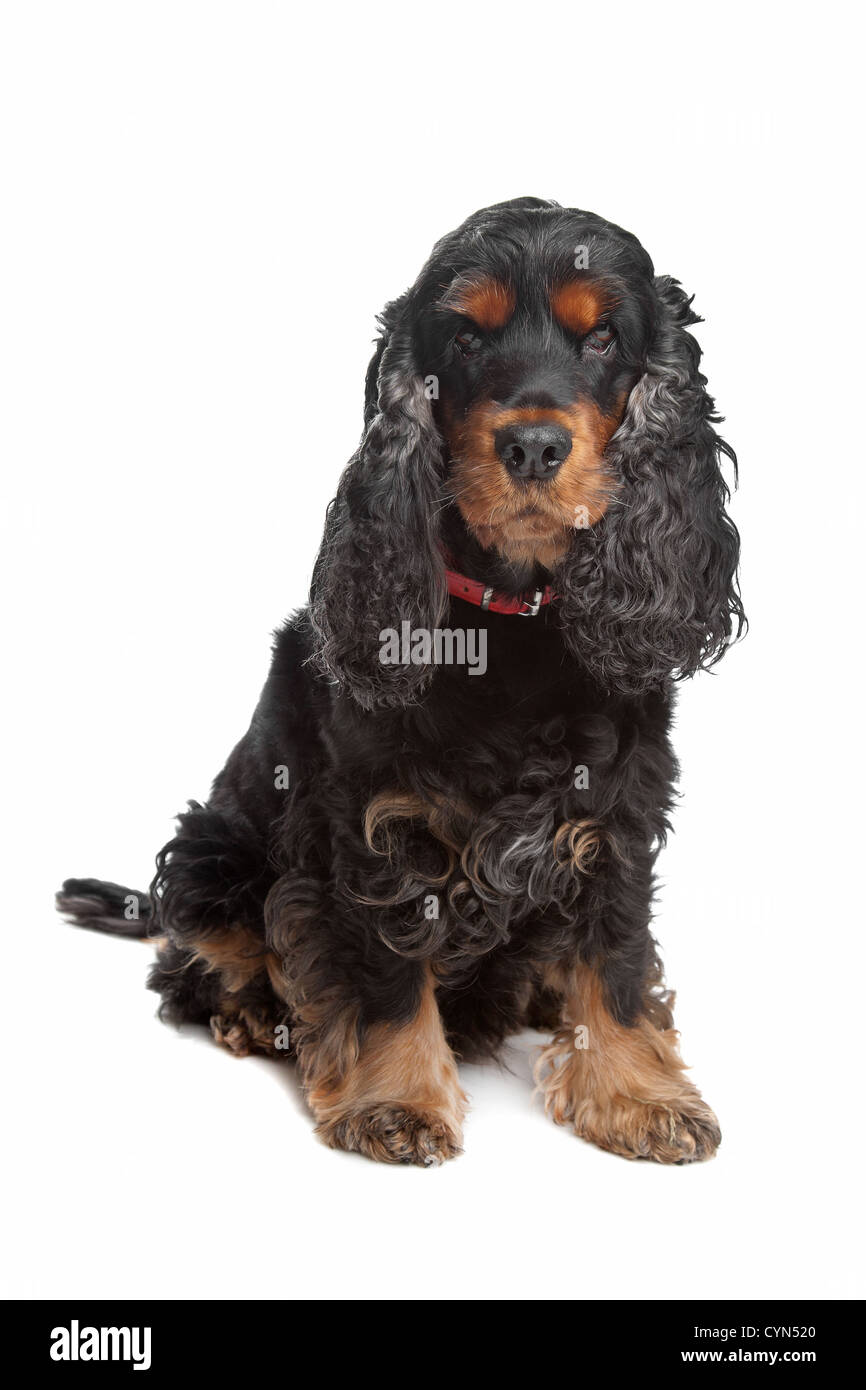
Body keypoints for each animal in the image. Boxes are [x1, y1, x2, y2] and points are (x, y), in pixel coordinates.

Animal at [55, 198, 745, 1162]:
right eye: (466, 337)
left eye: (603, 337)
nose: (534, 446)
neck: (510, 625)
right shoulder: (373, 821)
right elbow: (382, 970)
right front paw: (398, 1099)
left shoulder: (619, 806)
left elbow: (614, 956)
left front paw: (636, 1092)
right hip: (210, 847)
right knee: (192, 958)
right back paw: (252, 1010)